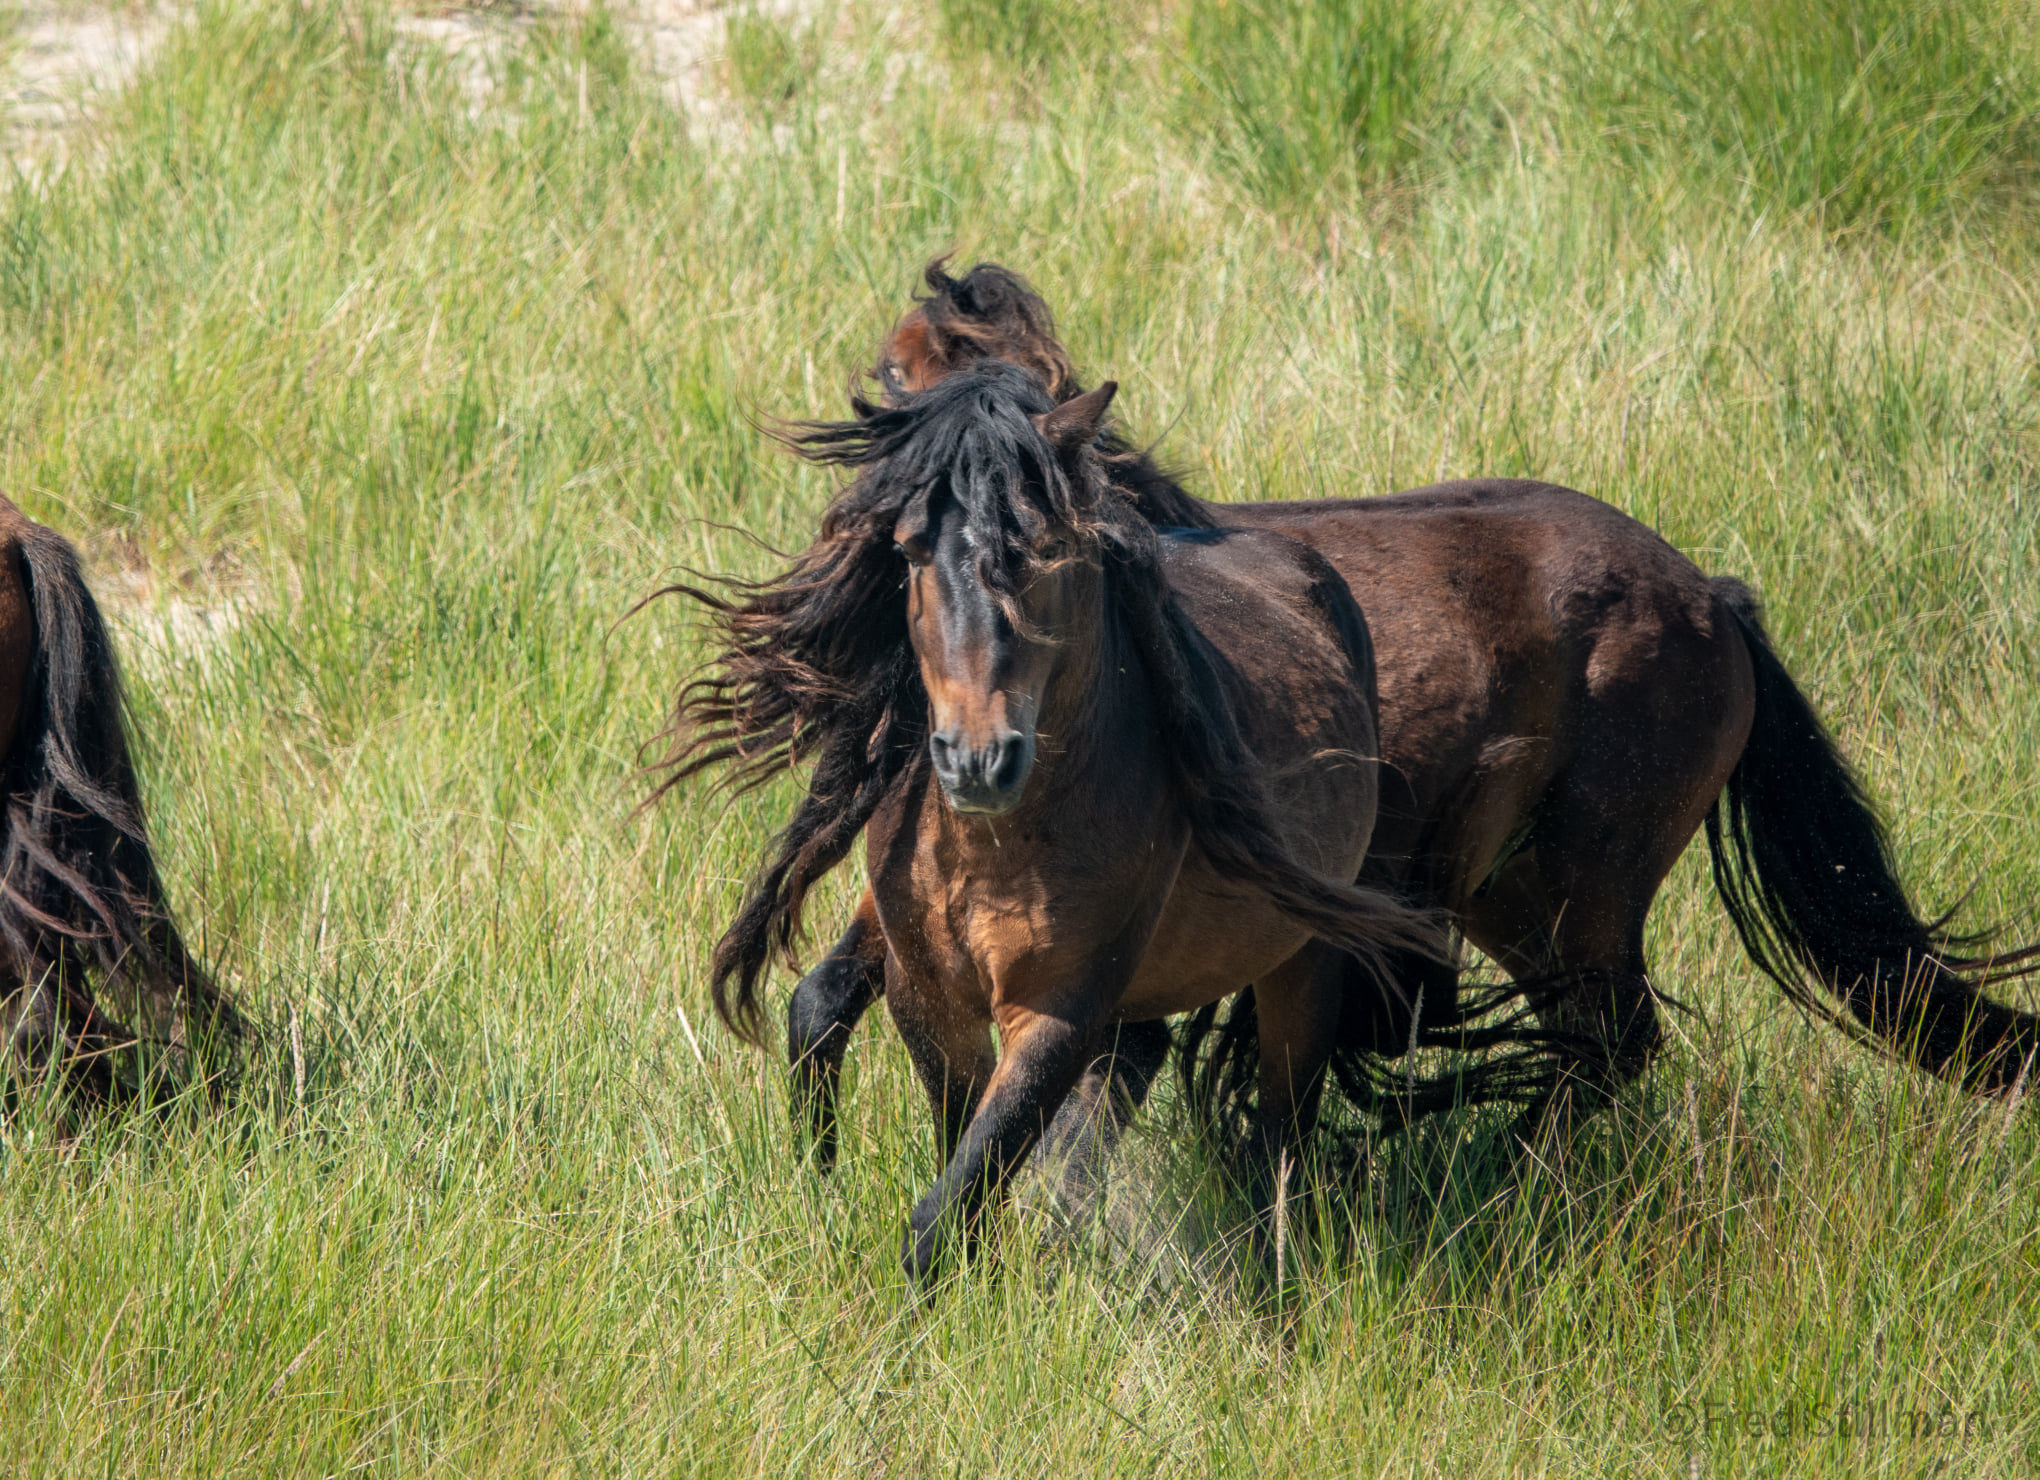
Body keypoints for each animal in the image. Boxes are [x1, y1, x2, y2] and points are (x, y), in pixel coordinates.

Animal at [652, 363, 1452, 1273]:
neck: (996, 848)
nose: (977, 760)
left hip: (1302, 961)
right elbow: (962, 1167)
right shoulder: (929, 996)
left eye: (1042, 551)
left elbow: (952, 1198)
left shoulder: (1060, 1010)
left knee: (1279, 1134)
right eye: (908, 550)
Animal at [779, 263, 2040, 1167]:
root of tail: (1715, 602)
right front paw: (820, 1177)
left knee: (1609, 1040)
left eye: (894, 376)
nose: (861, 537)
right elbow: (820, 998)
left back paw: (1509, 1182)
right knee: (1598, 1040)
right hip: (1509, 897)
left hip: (1580, 888)